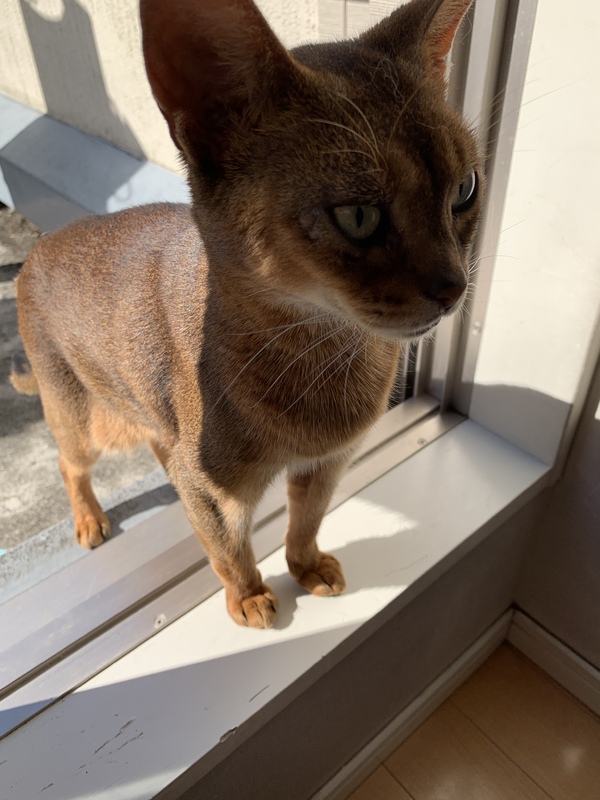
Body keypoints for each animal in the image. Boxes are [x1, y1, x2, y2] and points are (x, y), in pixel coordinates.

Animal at [11, 0, 483, 628]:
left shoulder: (327, 462)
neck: (323, 358)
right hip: (83, 418)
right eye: (358, 216)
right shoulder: (214, 488)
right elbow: (227, 544)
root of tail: (34, 251)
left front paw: (307, 568)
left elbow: (306, 521)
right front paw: (250, 596)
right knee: (69, 464)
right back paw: (89, 520)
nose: (455, 287)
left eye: (465, 190)